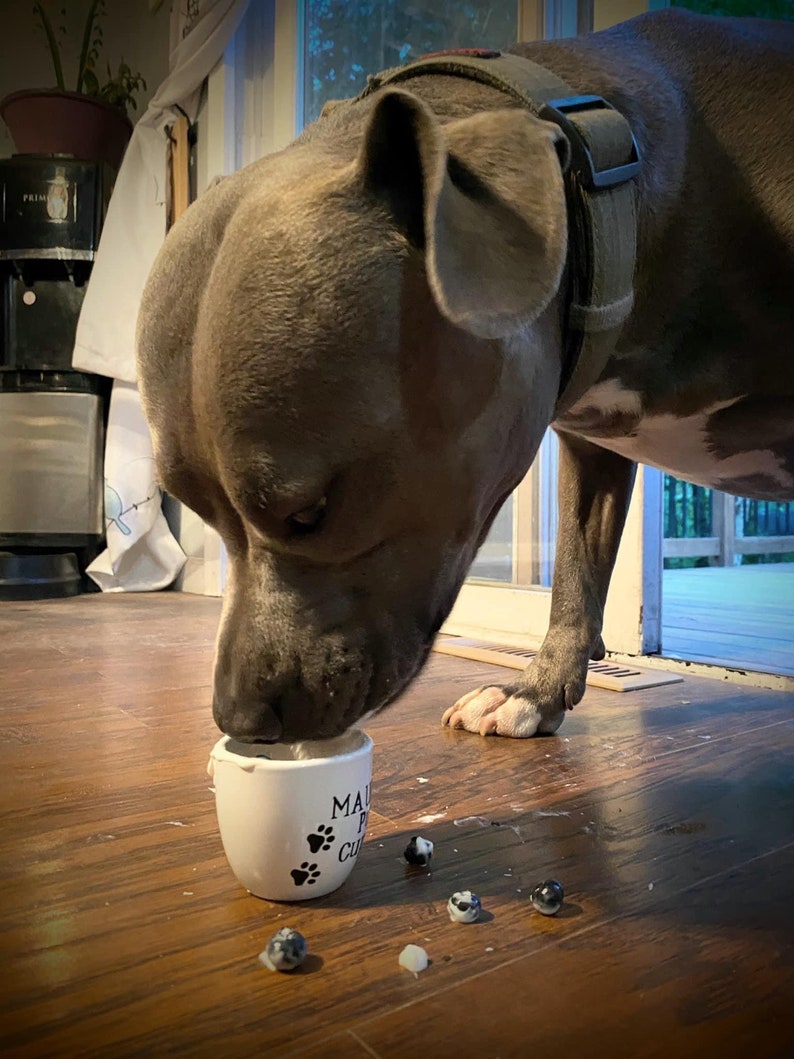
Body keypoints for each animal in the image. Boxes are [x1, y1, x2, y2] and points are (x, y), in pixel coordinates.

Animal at [138, 12, 794, 749]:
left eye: (311, 512)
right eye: (195, 510)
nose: (240, 718)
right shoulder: (592, 443)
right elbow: (576, 569)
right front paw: (534, 692)